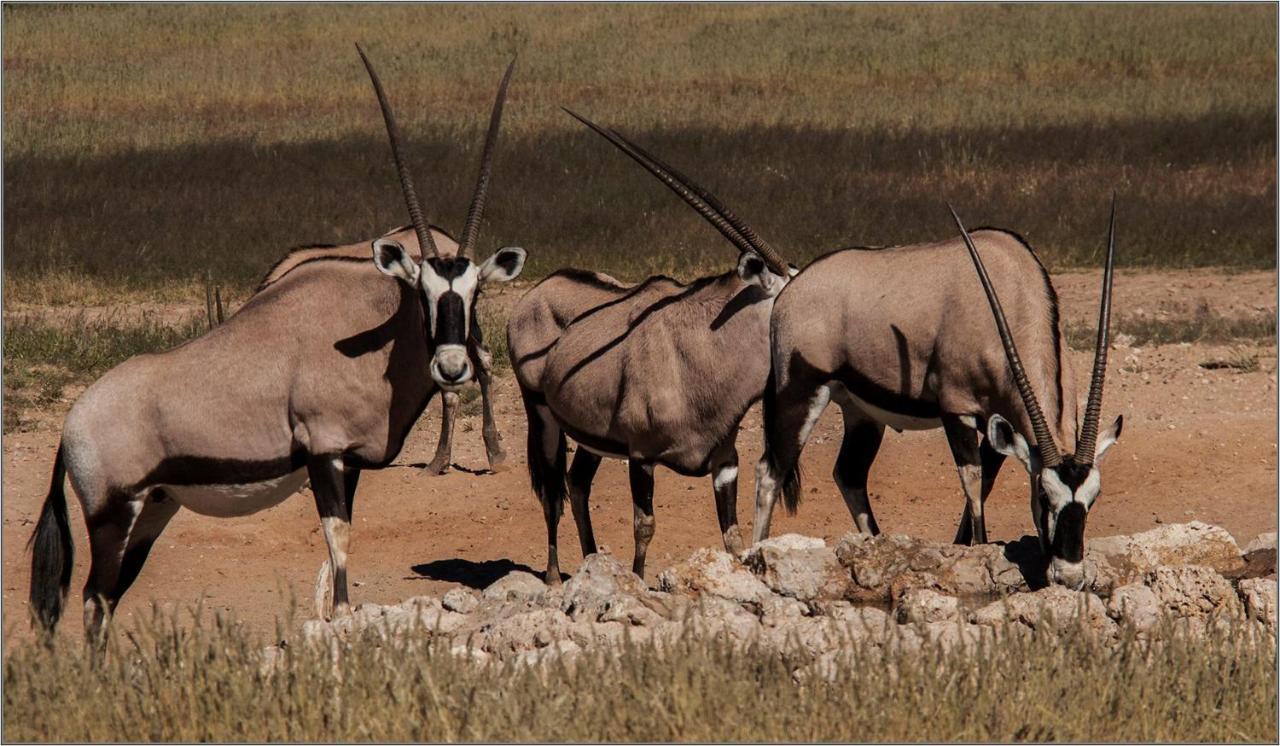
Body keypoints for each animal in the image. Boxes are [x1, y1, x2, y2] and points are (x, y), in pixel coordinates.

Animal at [27, 46, 524, 642]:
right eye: (421, 292)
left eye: (475, 291)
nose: (451, 367)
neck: (365, 332)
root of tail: (71, 424)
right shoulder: (323, 452)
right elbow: (338, 539)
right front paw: (341, 618)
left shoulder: (350, 462)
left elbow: (341, 542)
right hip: (111, 513)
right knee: (93, 598)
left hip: (153, 509)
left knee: (108, 598)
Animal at [506, 112, 788, 583]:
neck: (705, 350)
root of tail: (536, 292)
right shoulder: (641, 458)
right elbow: (645, 526)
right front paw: (637, 583)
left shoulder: (724, 460)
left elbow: (730, 534)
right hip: (541, 415)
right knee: (551, 492)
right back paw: (553, 575)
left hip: (590, 436)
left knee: (576, 484)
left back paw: (592, 563)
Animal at [747, 203, 1121, 588]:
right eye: (1045, 495)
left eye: (1094, 497)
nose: (1069, 576)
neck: (1012, 292)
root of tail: (790, 290)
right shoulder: (956, 410)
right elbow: (973, 482)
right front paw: (978, 550)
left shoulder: (998, 422)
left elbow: (986, 483)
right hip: (800, 392)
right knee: (770, 472)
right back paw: (755, 552)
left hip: (861, 412)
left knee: (849, 474)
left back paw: (875, 546)